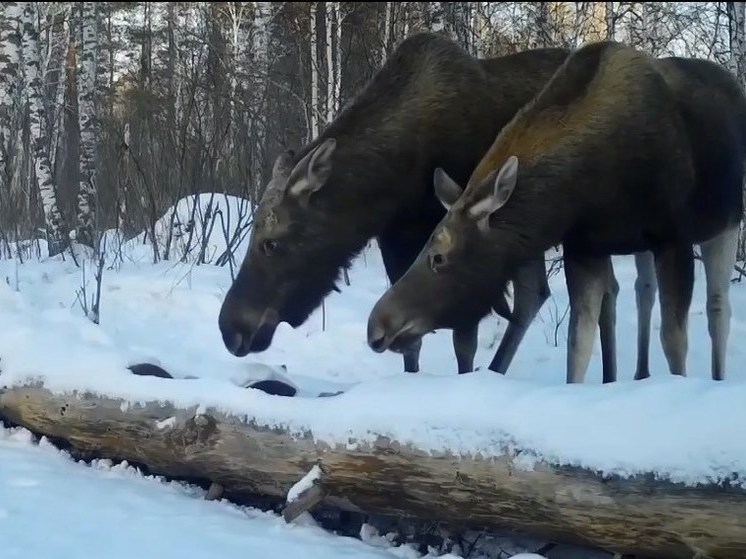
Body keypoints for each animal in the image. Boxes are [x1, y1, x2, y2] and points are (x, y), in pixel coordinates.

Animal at [366, 40, 744, 384]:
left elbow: (674, 340)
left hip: (725, 223)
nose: (376, 327)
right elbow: (578, 344)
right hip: (644, 248)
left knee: (718, 308)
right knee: (644, 293)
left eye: (439, 257)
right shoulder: (586, 249)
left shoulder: (673, 239)